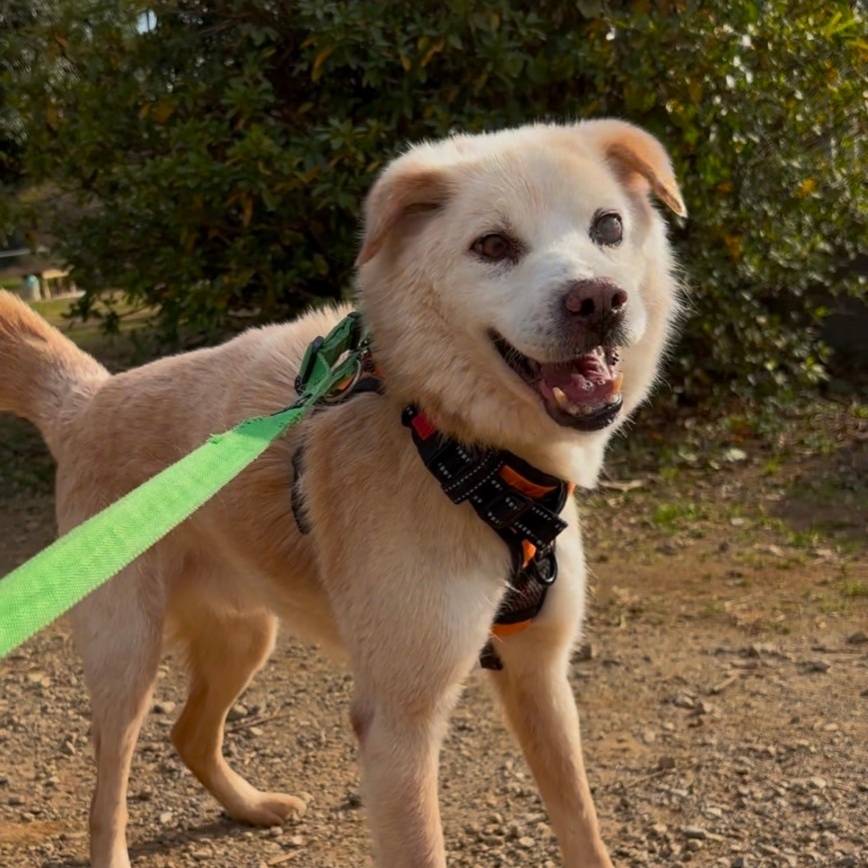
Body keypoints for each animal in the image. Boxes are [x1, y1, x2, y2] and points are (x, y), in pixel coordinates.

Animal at [0, 117, 684, 868]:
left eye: (608, 225)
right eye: (493, 245)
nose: (598, 300)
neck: (462, 450)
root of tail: (87, 398)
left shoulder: (540, 676)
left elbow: (582, 823)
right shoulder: (398, 726)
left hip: (246, 634)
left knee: (189, 733)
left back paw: (250, 806)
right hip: (126, 659)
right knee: (109, 791)